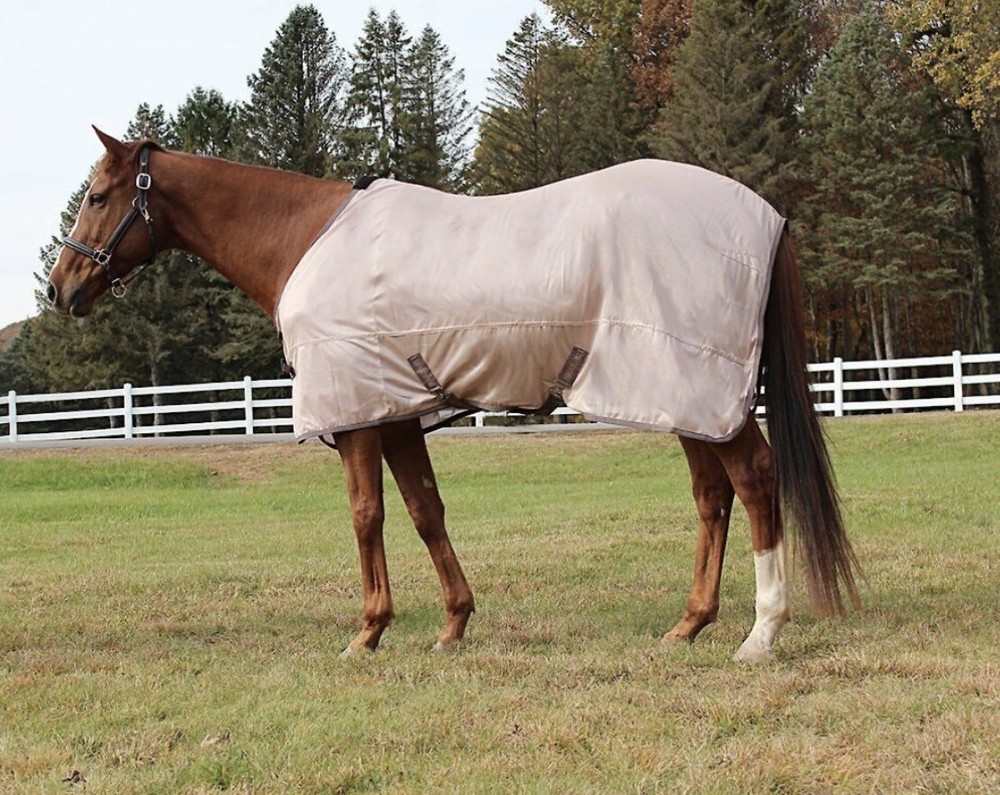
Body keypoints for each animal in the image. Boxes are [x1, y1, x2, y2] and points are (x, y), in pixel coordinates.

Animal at [46, 128, 861, 662]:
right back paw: (690, 624)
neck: (305, 238)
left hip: (702, 389)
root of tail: (766, 216)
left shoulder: (356, 418)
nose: (60, 288)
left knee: (753, 481)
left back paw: (761, 633)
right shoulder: (399, 413)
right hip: (681, 395)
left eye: (97, 195)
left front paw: (369, 631)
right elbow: (424, 511)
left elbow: (367, 516)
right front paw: (452, 624)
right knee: (712, 496)